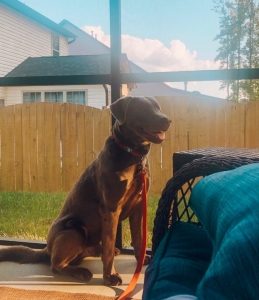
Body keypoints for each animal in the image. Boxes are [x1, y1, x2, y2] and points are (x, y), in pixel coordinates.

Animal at [0, 96, 172, 286]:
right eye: (143, 108)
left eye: (157, 107)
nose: (167, 120)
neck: (133, 156)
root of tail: (47, 249)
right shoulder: (110, 209)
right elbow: (109, 246)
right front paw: (110, 276)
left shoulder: (138, 205)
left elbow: (138, 238)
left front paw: (140, 260)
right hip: (73, 230)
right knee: (56, 265)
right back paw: (81, 272)